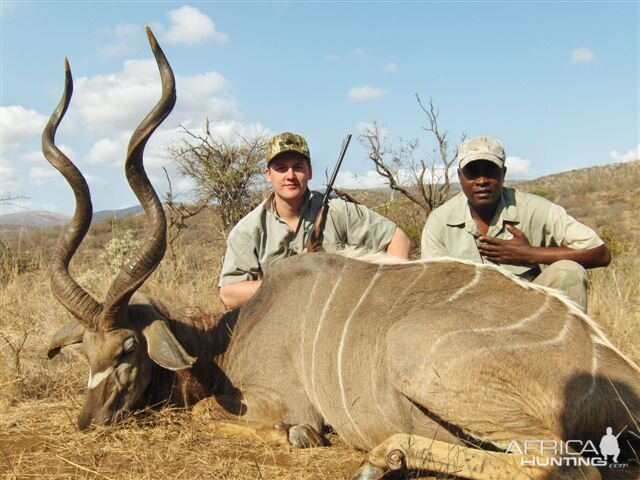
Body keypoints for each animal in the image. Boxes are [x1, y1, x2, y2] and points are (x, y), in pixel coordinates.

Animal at [42, 28, 636, 478]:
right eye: (84, 351)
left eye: (127, 349)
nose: (88, 422)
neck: (227, 335)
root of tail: (619, 386)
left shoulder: (276, 402)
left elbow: (241, 419)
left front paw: (304, 438)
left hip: (423, 361)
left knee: (555, 463)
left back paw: (382, 457)